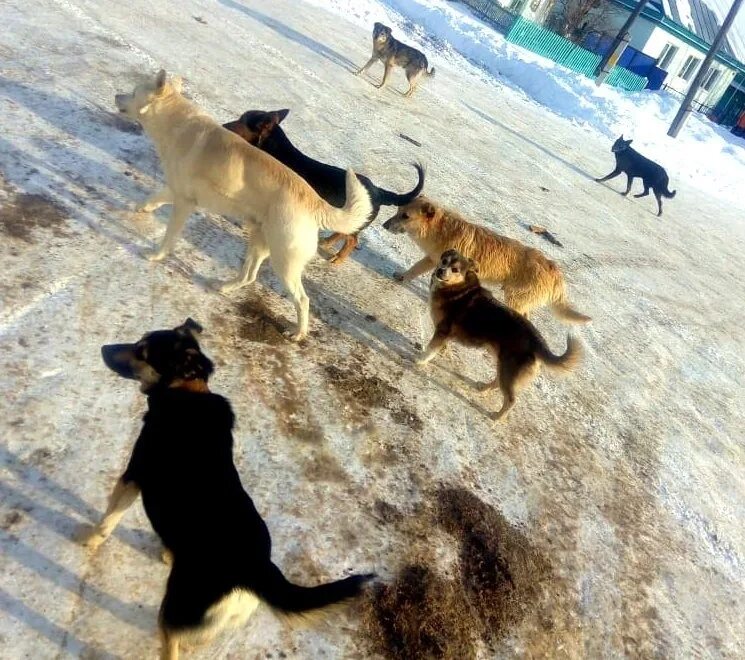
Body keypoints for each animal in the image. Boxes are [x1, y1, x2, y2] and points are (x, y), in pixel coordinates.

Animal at [78, 318, 374, 656]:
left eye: (142, 352)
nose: (103, 348)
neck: (187, 392)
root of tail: (257, 570)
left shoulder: (132, 475)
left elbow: (107, 521)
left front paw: (87, 541)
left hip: (175, 608)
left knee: (173, 644)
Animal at [114, 71, 372, 340]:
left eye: (133, 92)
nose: (116, 95)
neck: (177, 122)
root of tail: (316, 203)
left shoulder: (184, 203)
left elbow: (168, 238)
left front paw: (155, 255)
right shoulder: (177, 189)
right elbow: (154, 197)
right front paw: (140, 208)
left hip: (284, 263)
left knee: (302, 300)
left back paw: (297, 333)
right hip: (259, 242)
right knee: (249, 276)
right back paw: (224, 287)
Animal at [222, 109, 424, 266]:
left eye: (241, 121)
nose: (223, 125)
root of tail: (380, 192)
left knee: (352, 240)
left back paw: (338, 259)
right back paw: (326, 242)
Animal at [384, 195, 588, 324]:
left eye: (405, 216)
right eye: (397, 210)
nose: (384, 225)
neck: (442, 229)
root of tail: (554, 269)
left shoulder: (437, 263)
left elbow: (415, 269)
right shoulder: (432, 260)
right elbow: (415, 268)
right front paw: (402, 277)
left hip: (515, 298)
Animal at [416, 250, 580, 420]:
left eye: (455, 269)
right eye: (444, 260)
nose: (440, 271)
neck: (458, 288)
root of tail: (537, 342)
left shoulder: (442, 330)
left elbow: (431, 349)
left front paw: (421, 360)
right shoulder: (445, 334)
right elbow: (438, 348)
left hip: (509, 369)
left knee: (511, 400)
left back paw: (496, 417)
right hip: (503, 364)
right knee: (497, 382)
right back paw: (483, 387)